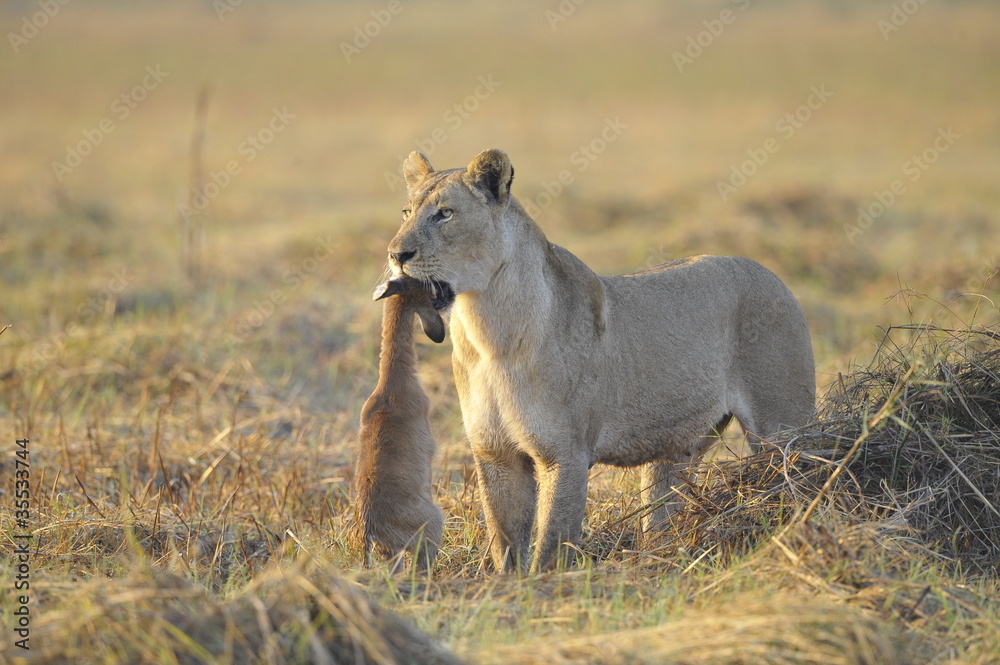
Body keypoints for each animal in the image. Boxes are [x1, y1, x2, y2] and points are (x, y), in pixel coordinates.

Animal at [386, 149, 815, 572]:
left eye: (445, 213)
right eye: (406, 212)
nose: (395, 254)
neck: (487, 330)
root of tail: (771, 274)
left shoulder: (565, 454)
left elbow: (552, 543)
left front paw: (544, 587)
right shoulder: (495, 454)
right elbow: (504, 541)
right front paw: (504, 585)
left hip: (781, 428)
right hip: (675, 451)